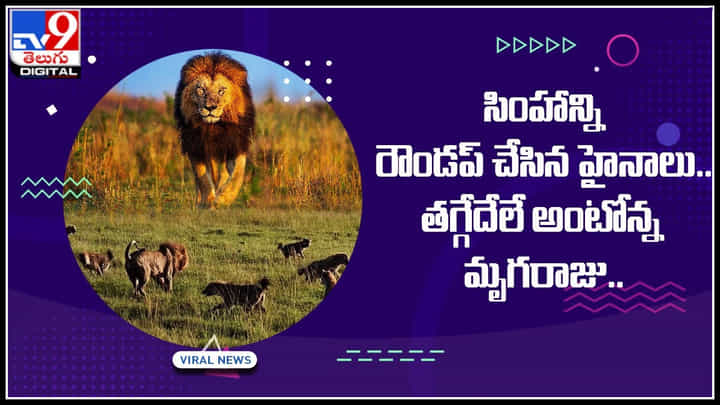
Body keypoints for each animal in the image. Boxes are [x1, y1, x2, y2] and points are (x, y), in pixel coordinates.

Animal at [174, 52, 255, 208]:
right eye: (201, 89)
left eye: (221, 91)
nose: (210, 107)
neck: (214, 128)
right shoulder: (195, 145)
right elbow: (202, 178)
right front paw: (208, 200)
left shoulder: (235, 144)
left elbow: (238, 173)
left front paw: (224, 198)